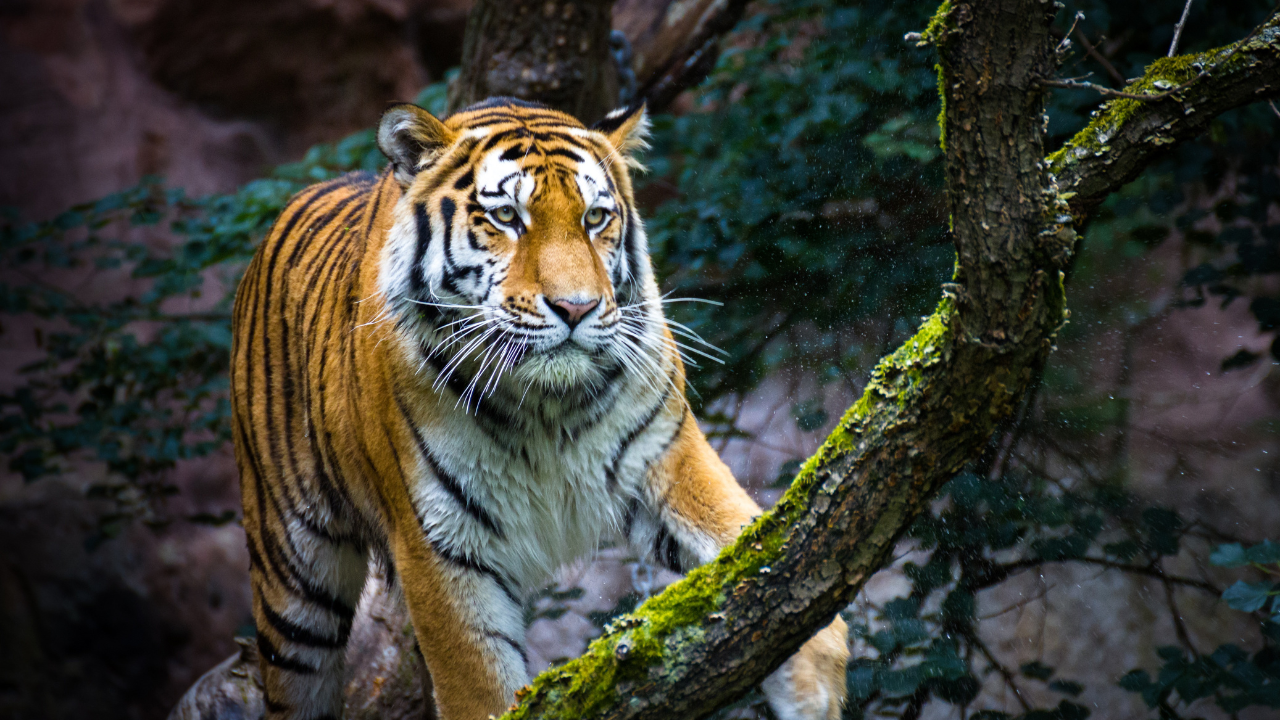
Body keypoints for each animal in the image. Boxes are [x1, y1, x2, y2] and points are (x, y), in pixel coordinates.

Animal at [230, 96, 849, 717]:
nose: (576, 308)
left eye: (595, 219)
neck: (547, 407)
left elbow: (757, 545)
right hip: (293, 586)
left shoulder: (667, 458)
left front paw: (811, 679)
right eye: (506, 217)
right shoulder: (441, 544)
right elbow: (479, 690)